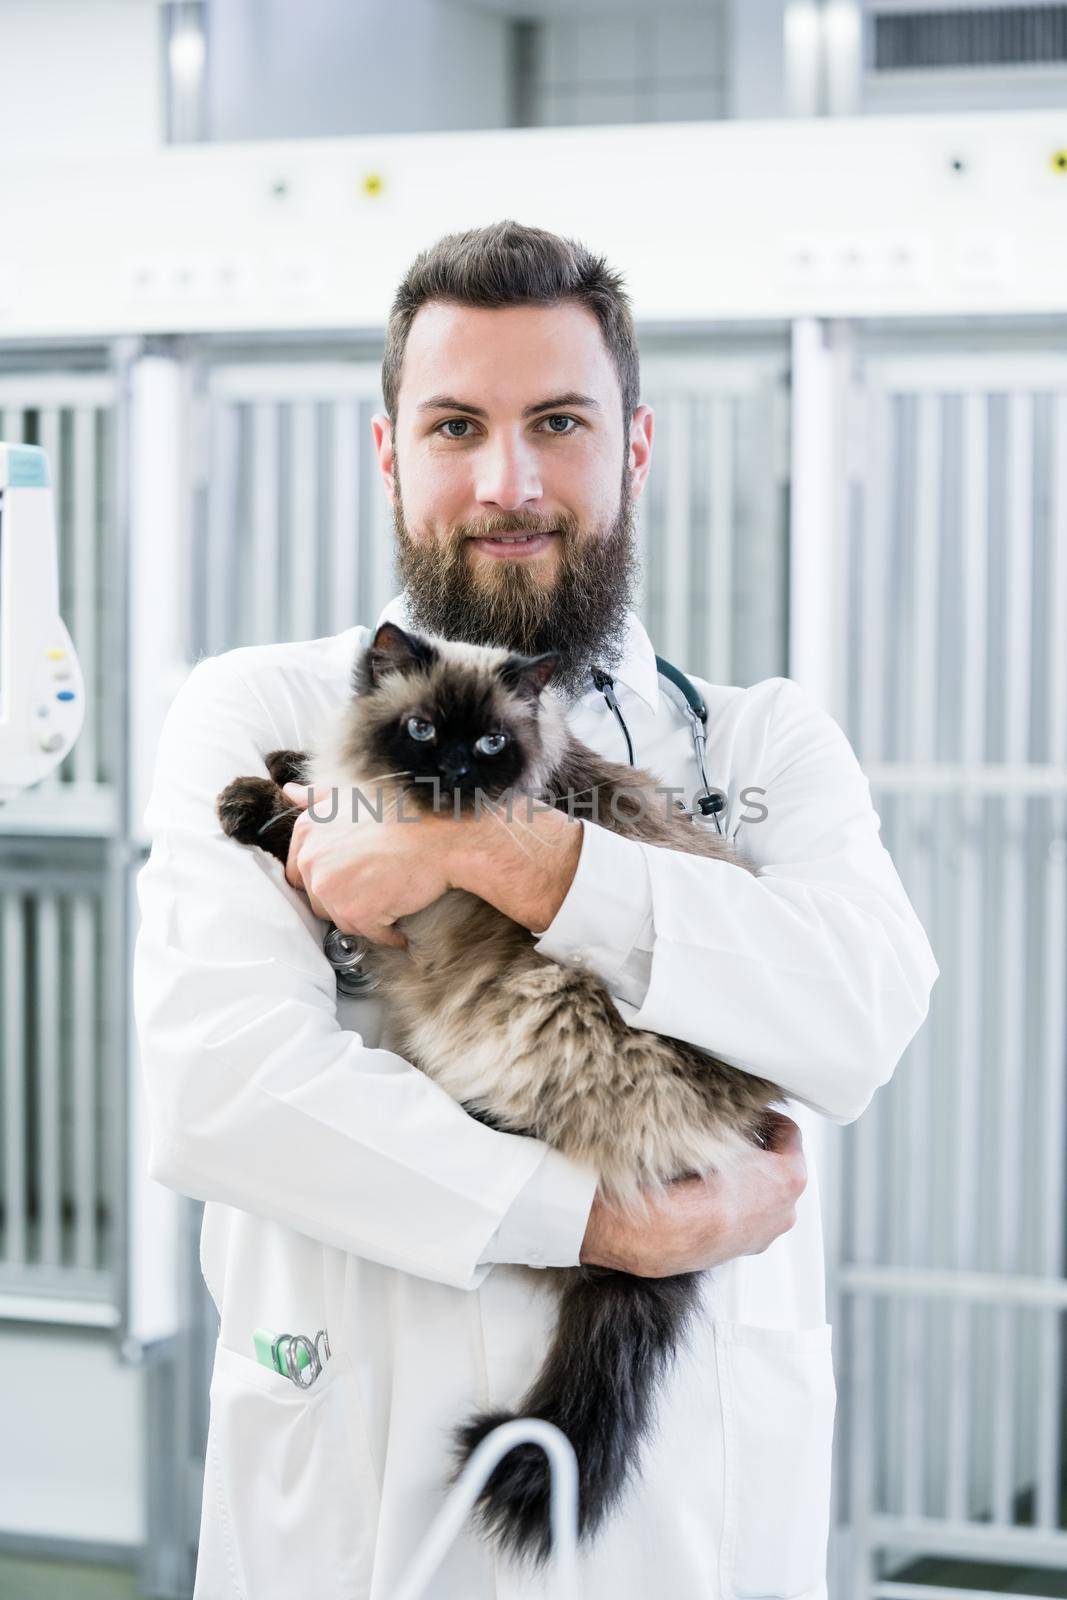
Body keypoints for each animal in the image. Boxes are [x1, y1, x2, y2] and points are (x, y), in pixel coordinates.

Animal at [217, 620, 783, 1561]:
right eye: (420, 731)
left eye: (487, 745)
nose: (450, 771)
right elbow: (310, 774)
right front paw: (277, 765)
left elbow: (300, 818)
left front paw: (253, 801)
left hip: (554, 1001)